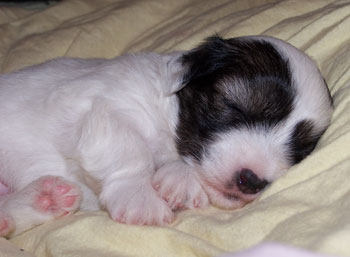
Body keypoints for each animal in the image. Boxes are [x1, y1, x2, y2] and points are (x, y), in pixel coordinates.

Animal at [0, 35, 334, 236]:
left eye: (301, 150)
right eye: (236, 107)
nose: (252, 180)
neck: (167, 112)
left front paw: (179, 181)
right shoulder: (101, 107)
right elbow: (129, 150)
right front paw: (139, 197)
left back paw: (45, 199)